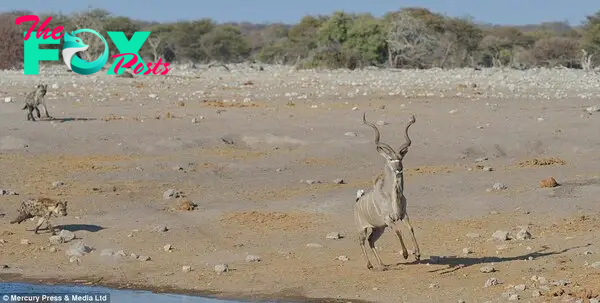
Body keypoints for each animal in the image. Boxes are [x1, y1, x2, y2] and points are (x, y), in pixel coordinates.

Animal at [354, 113, 420, 270]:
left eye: (401, 158)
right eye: (390, 159)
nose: (399, 168)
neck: (391, 196)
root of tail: (357, 202)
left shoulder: (403, 215)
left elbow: (411, 228)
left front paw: (417, 254)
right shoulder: (388, 219)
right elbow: (398, 231)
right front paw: (405, 254)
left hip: (379, 228)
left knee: (371, 240)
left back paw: (382, 264)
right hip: (362, 229)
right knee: (362, 241)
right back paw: (369, 265)